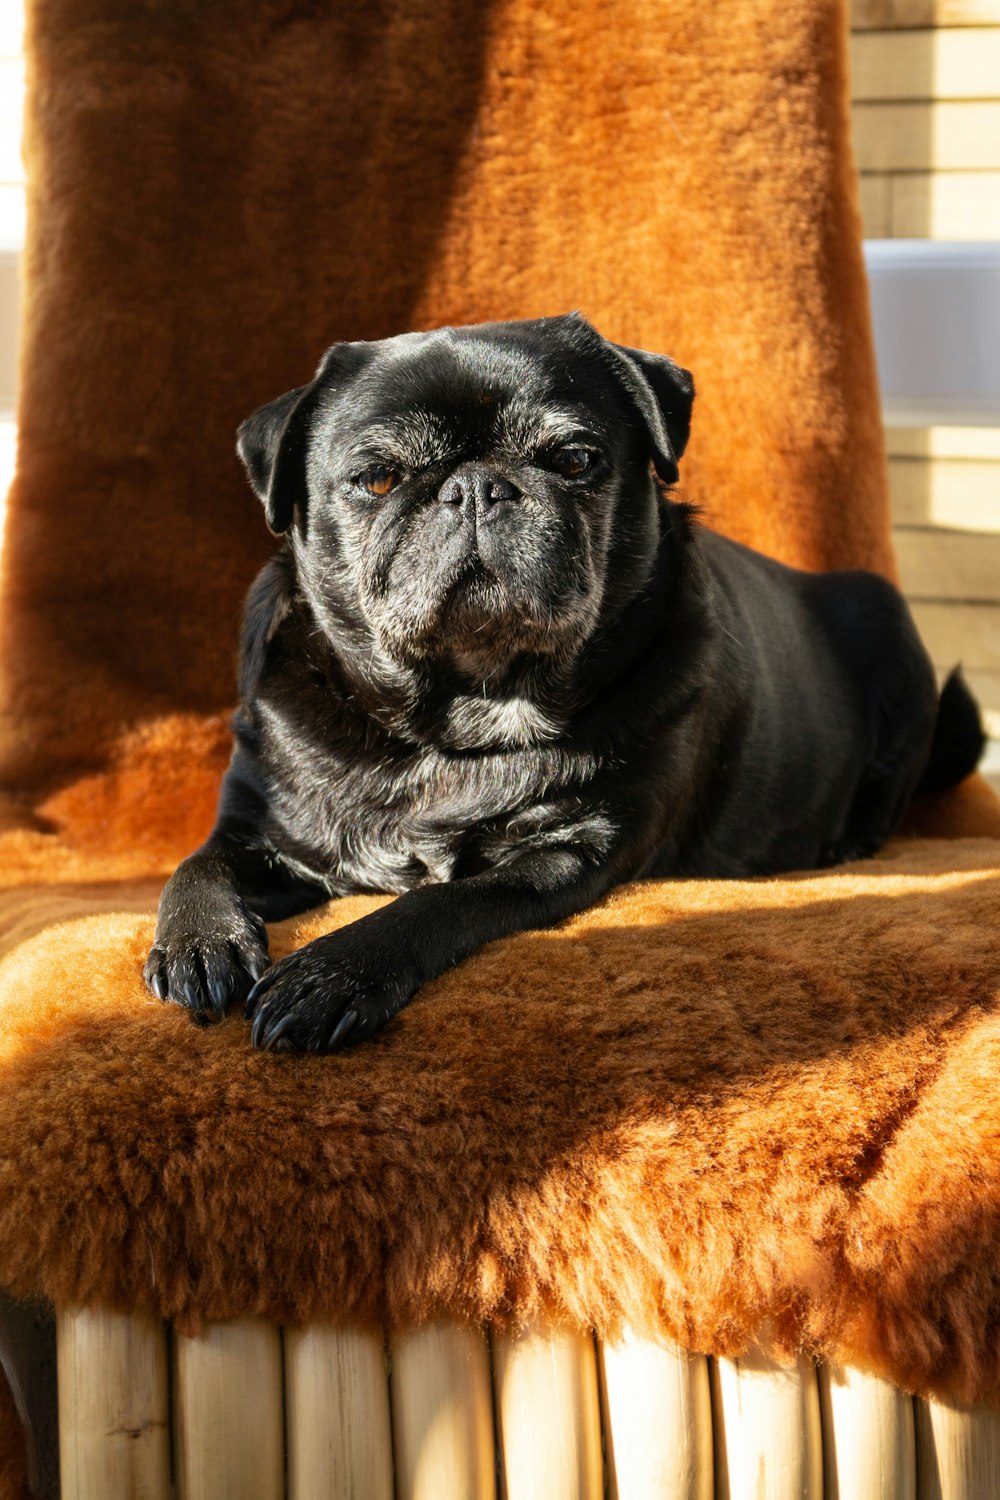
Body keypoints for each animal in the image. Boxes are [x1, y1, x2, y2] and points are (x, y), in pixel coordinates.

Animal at [144, 310, 983, 1050]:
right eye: (377, 479)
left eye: (575, 460)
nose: (476, 487)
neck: (458, 716)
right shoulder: (259, 829)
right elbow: (196, 867)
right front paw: (201, 945)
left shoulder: (566, 853)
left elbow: (435, 902)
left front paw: (333, 975)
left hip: (890, 630)